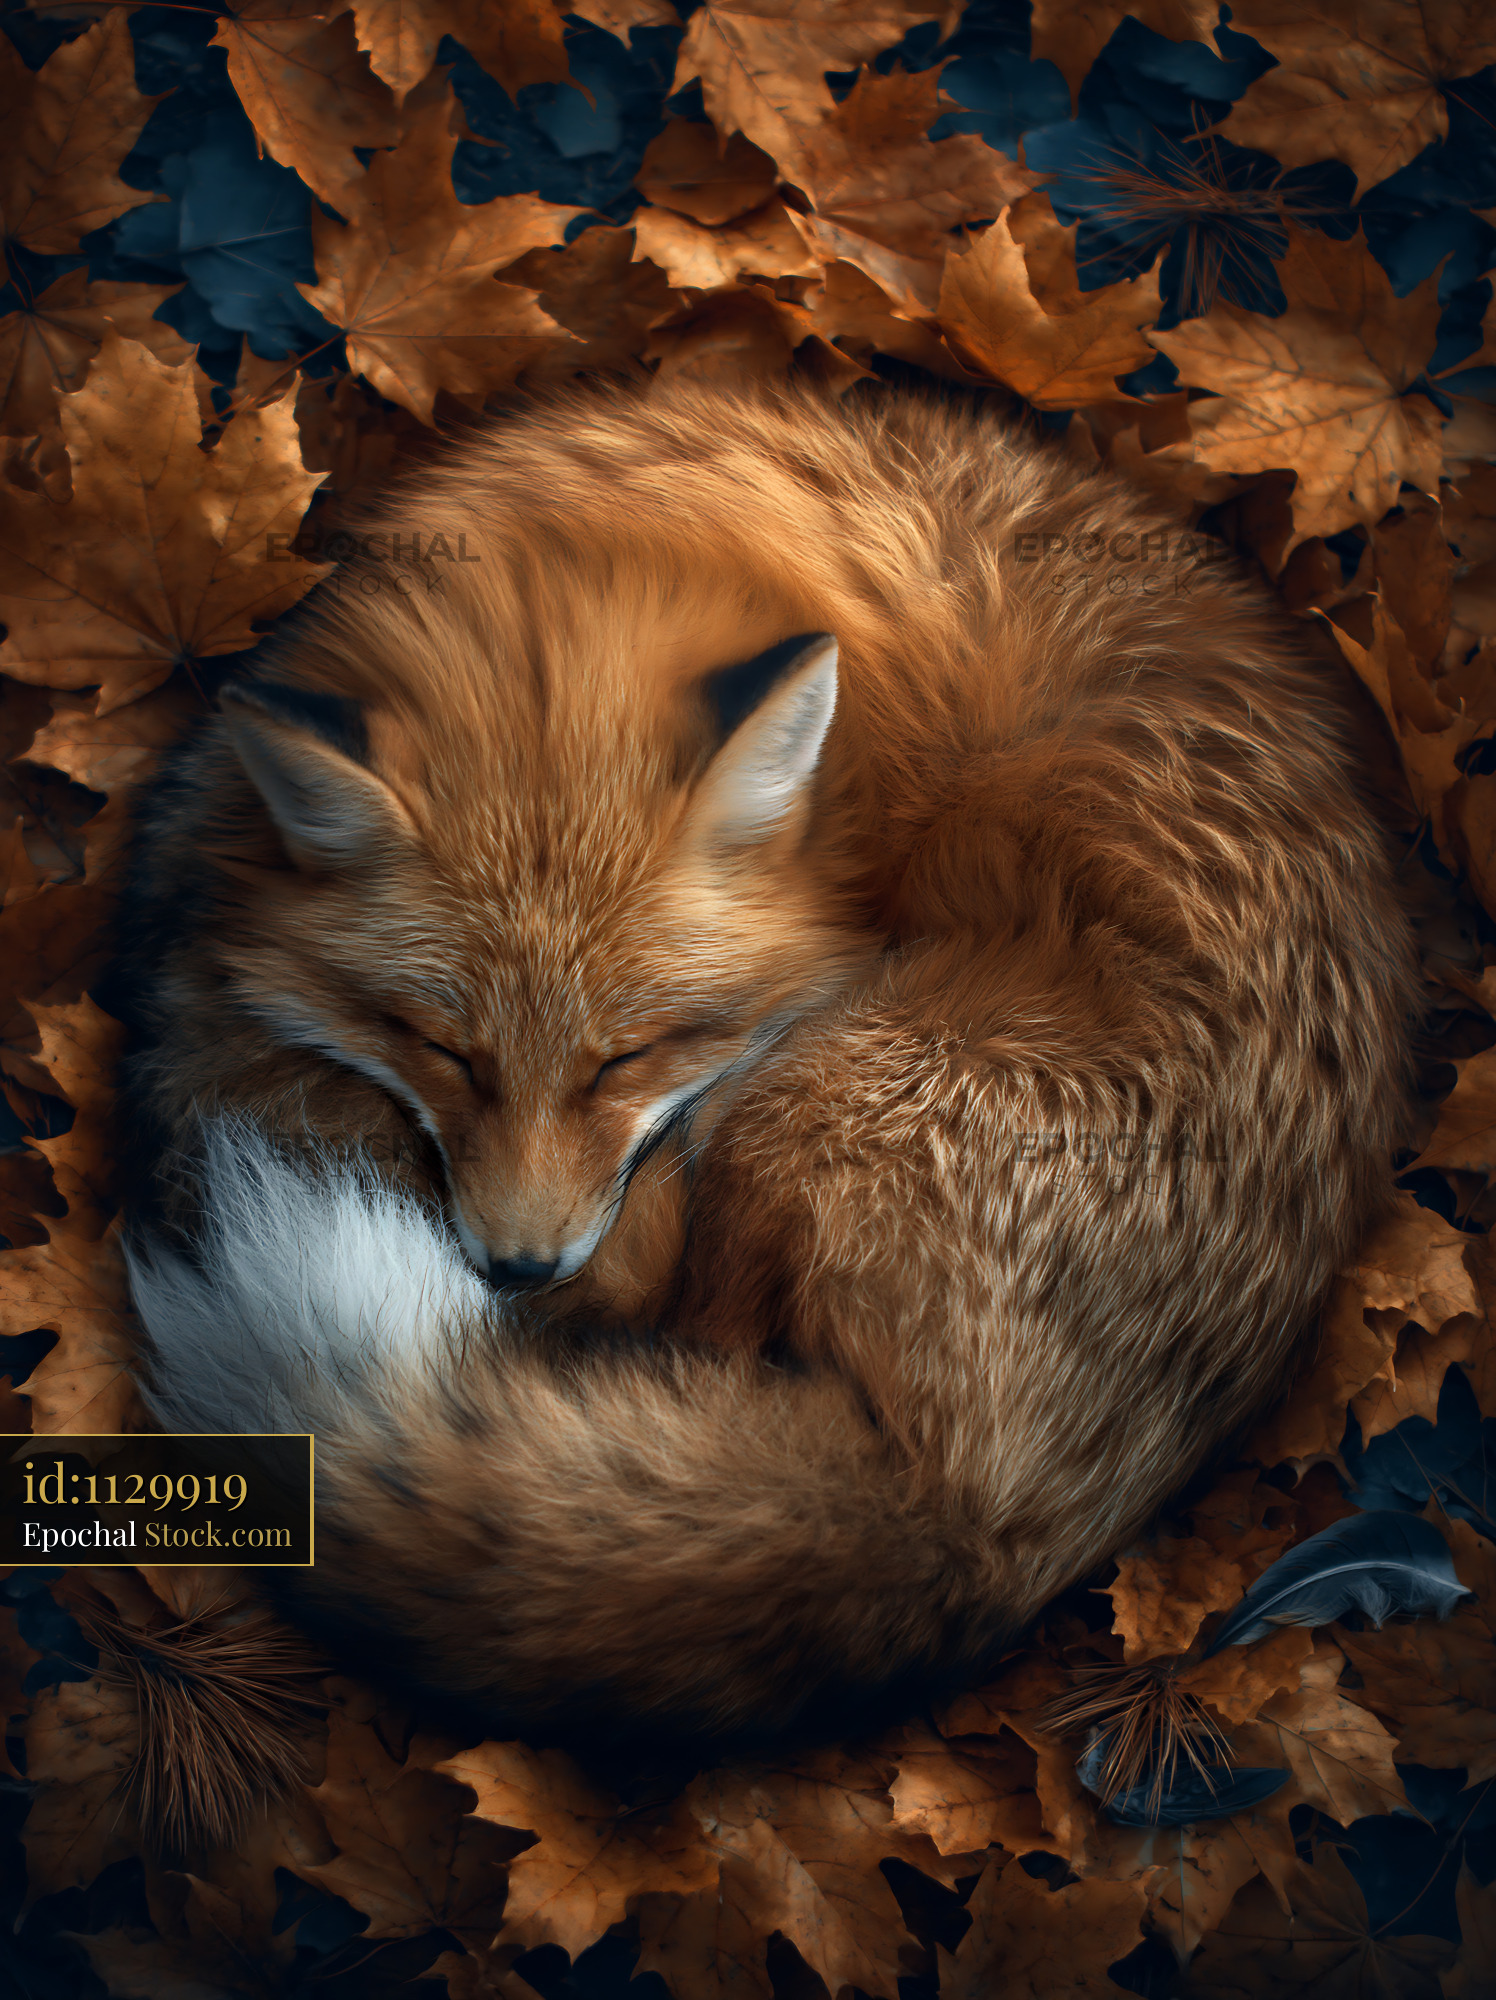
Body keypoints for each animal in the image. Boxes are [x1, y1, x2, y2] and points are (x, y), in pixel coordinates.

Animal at [114, 377, 1420, 1844]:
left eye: (627, 1057)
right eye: (443, 1048)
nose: (514, 1266)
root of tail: (1005, 1528)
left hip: (828, 1090)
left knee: (702, 1326)